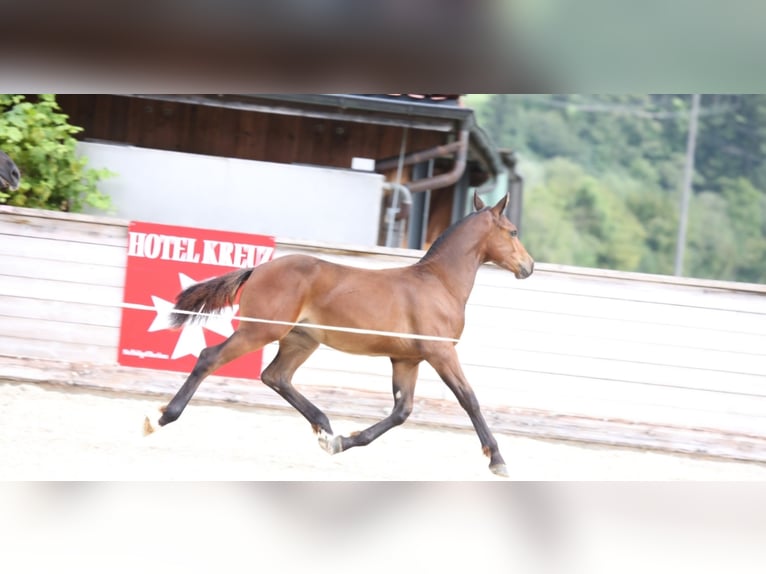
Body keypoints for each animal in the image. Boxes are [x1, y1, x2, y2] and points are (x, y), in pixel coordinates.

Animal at [147, 191, 536, 480]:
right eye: (513, 231)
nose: (529, 267)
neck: (438, 283)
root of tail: (259, 268)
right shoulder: (441, 354)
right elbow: (469, 399)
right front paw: (497, 460)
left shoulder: (406, 359)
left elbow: (402, 411)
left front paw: (343, 443)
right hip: (261, 330)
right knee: (210, 358)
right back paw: (161, 417)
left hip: (301, 340)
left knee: (275, 376)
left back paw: (325, 428)